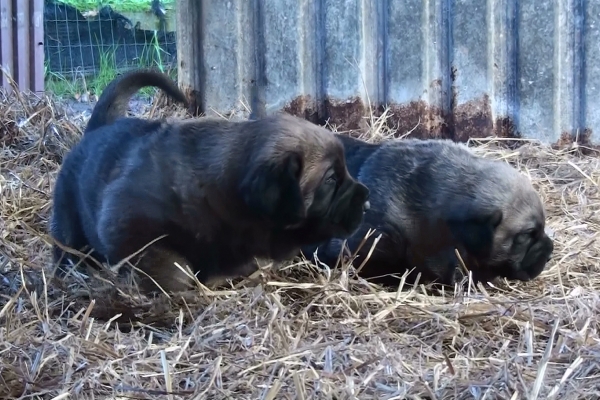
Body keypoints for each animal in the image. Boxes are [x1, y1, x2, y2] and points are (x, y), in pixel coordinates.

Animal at [50, 69, 370, 294]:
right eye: (330, 179)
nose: (366, 201)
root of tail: (98, 128)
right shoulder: (128, 224)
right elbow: (172, 267)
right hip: (68, 219)